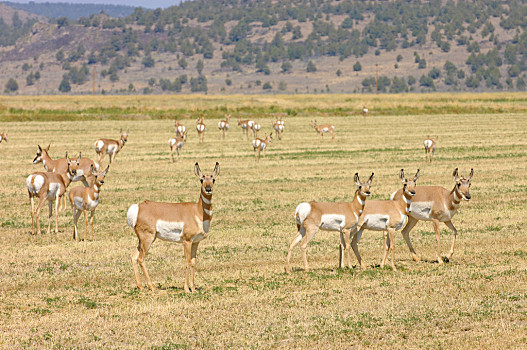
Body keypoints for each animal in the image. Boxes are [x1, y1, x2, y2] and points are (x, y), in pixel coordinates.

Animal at [128, 163, 221, 292]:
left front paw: (193, 288)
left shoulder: (195, 242)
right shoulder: (187, 241)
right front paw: (187, 289)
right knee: (141, 258)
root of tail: (139, 207)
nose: (208, 188)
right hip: (148, 239)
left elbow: (193, 262)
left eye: (213, 179)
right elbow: (187, 261)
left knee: (133, 257)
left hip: (142, 240)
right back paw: (152, 287)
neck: (197, 211)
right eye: (201, 179)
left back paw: (141, 286)